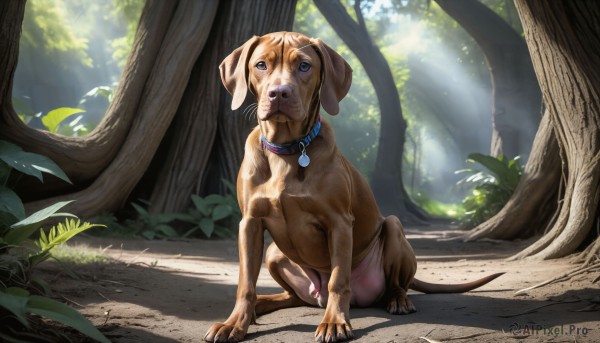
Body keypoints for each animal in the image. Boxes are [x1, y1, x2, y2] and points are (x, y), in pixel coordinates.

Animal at [204, 32, 504, 343]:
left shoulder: (338, 223)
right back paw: (261, 305)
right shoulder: (249, 223)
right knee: (291, 296)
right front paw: (235, 323)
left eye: (304, 66)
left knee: (395, 283)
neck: (287, 150)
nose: (279, 93)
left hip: (393, 227)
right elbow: (245, 283)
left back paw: (397, 300)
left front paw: (334, 322)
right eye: (261, 65)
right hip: (275, 252)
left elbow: (338, 279)